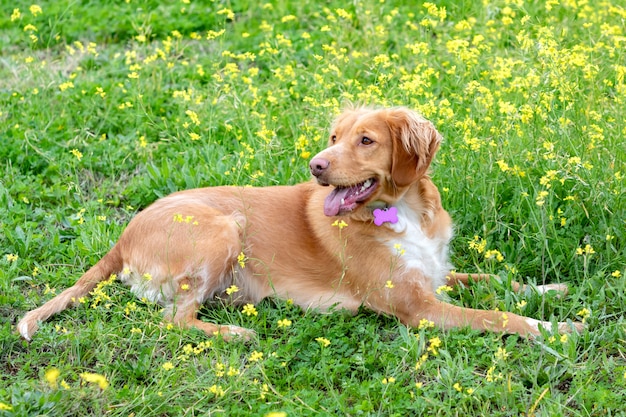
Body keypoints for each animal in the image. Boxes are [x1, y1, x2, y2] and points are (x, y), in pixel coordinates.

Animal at [17, 105, 584, 340]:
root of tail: (123, 234)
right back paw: (234, 333)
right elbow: (502, 316)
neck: (405, 211)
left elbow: (495, 278)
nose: (315, 165)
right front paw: (558, 327)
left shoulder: (434, 276)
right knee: (173, 320)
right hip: (224, 227)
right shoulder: (416, 307)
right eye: (334, 137)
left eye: (365, 140)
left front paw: (551, 290)